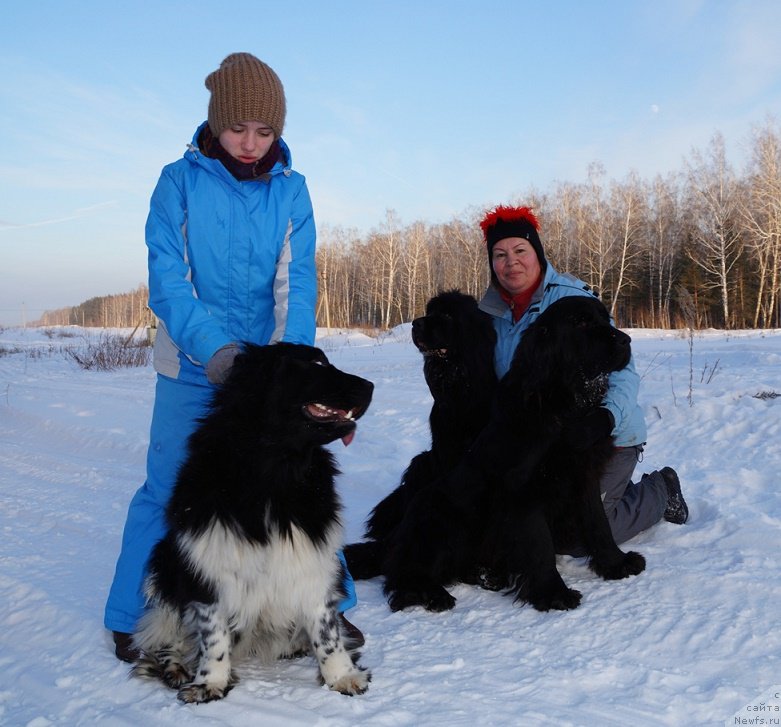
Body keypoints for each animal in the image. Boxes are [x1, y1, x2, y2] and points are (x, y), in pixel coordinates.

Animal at [132, 344, 374, 704]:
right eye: (316, 362)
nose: (370, 386)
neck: (275, 468)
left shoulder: (312, 557)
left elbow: (326, 628)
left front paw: (341, 675)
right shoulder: (207, 556)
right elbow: (213, 633)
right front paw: (210, 682)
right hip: (163, 562)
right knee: (167, 629)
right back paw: (174, 666)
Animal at [344, 290, 496, 580]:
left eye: (447, 314)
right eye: (430, 311)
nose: (415, 323)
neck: (459, 389)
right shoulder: (445, 452)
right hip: (421, 463)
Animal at [380, 296, 644, 616]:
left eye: (606, 318)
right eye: (581, 322)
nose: (626, 341)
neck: (563, 401)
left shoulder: (584, 476)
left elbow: (599, 523)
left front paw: (616, 563)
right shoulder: (523, 489)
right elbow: (540, 545)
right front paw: (553, 592)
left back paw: (487, 575)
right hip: (441, 517)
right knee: (404, 576)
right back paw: (435, 595)